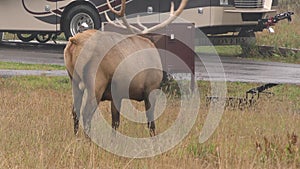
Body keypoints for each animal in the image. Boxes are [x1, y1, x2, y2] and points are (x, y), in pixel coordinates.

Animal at [64, 0, 189, 136]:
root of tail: (75, 41)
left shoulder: (116, 94)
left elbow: (115, 123)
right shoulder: (150, 88)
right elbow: (151, 123)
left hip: (74, 81)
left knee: (75, 111)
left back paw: (76, 137)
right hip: (96, 82)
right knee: (86, 113)